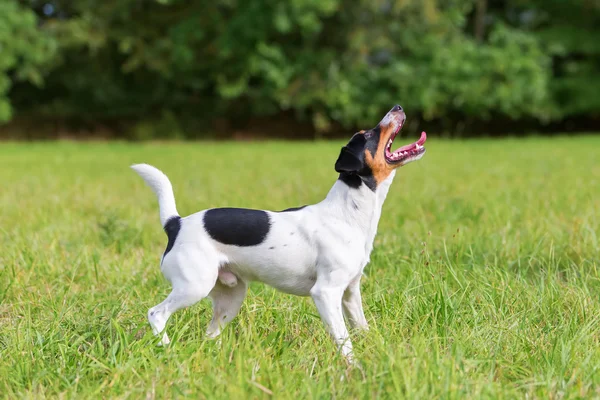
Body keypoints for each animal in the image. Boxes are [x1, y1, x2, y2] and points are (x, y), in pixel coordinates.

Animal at [131, 104, 426, 360]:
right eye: (368, 135)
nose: (398, 107)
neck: (347, 212)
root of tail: (176, 224)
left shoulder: (350, 293)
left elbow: (362, 329)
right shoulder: (326, 293)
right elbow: (344, 341)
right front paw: (354, 369)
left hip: (230, 297)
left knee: (210, 334)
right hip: (194, 286)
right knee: (156, 313)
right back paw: (166, 348)